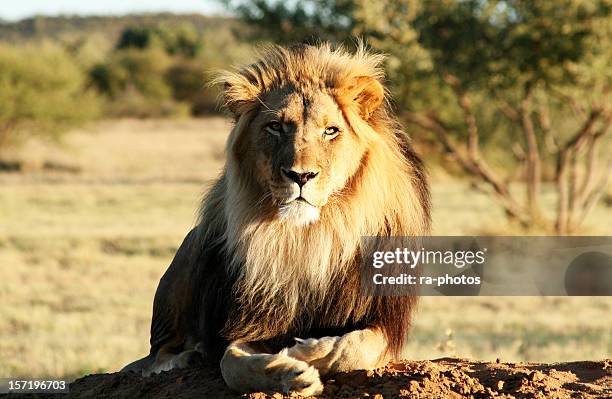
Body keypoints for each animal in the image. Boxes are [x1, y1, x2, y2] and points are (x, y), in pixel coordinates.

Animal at [122, 42, 430, 396]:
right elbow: (231, 365)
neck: (310, 237)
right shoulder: (252, 321)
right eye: (276, 127)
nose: (301, 175)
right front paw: (288, 372)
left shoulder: (384, 323)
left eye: (331, 131)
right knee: (157, 353)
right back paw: (185, 357)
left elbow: (353, 348)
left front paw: (307, 352)